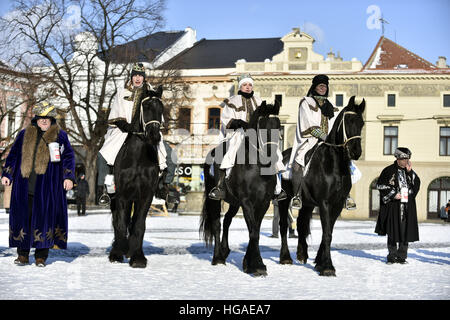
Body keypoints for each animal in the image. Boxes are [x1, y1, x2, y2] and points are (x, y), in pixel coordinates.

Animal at [108, 84, 164, 268]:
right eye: (145, 106)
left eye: (161, 108)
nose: (154, 135)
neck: (138, 157)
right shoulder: (122, 195)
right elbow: (120, 223)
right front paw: (117, 253)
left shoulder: (146, 195)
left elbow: (139, 225)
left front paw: (138, 256)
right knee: (119, 220)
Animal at [201, 101, 282, 276]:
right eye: (262, 126)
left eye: (279, 127)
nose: (272, 157)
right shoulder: (247, 202)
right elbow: (253, 232)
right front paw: (257, 265)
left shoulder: (263, 203)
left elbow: (255, 230)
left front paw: (250, 263)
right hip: (216, 200)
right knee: (217, 225)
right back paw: (217, 257)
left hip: (234, 202)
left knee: (227, 221)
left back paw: (224, 251)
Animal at [278, 96, 366, 276]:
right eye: (348, 121)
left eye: (361, 123)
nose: (356, 151)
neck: (334, 163)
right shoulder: (324, 203)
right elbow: (327, 234)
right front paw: (327, 267)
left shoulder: (337, 204)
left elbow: (329, 232)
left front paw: (320, 262)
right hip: (285, 201)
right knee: (283, 226)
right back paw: (285, 258)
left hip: (307, 204)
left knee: (301, 224)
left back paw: (302, 254)